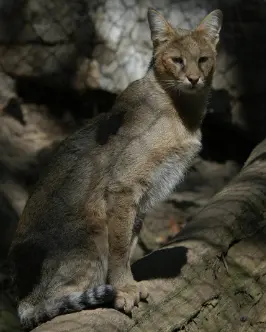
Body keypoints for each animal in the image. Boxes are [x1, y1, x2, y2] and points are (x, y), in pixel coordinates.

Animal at [8, 7, 222, 330]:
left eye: (203, 59)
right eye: (177, 60)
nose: (194, 79)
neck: (182, 113)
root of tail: (22, 296)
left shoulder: (141, 200)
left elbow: (129, 241)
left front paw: (127, 284)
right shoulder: (123, 188)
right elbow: (120, 247)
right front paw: (123, 289)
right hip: (89, 233)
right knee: (45, 306)